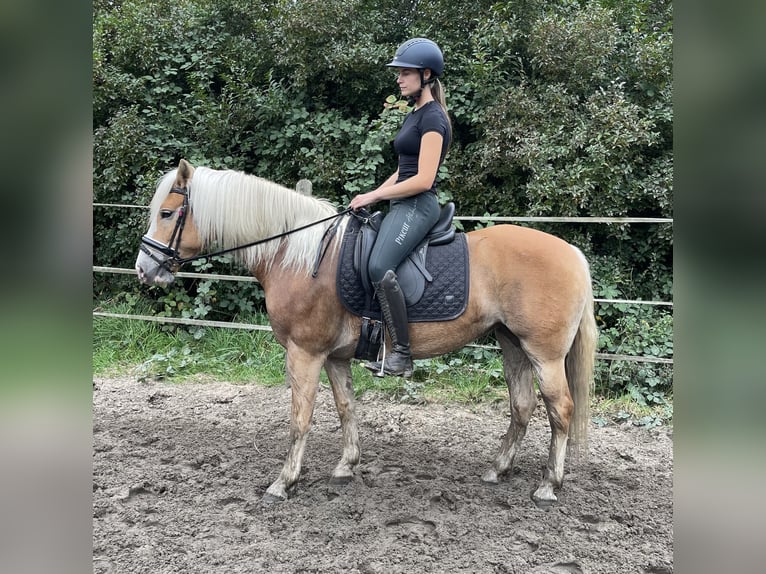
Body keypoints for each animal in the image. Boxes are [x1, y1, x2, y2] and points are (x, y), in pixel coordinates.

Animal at [135, 160, 596, 506]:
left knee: (561, 410)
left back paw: (548, 486)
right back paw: (498, 470)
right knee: (522, 406)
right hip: (511, 343)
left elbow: (300, 419)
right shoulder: (334, 356)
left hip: (545, 354)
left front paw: (284, 482)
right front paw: (346, 466)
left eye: (166, 213)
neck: (295, 254)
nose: (144, 269)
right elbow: (346, 408)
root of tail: (572, 252)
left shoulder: (304, 353)